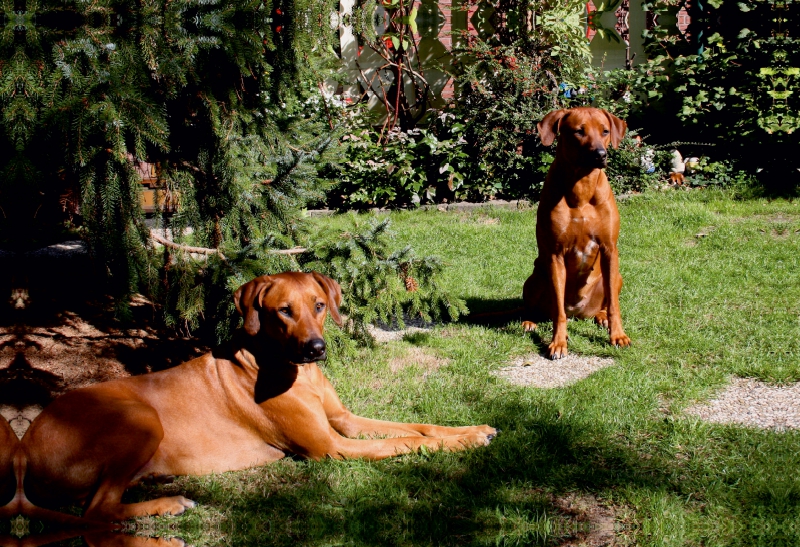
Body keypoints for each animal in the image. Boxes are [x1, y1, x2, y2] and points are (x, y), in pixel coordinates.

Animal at [4, 272, 494, 524]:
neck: (295, 371)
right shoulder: (331, 447)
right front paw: (457, 443)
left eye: (319, 305)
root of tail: (26, 445)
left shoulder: (345, 420)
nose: (316, 349)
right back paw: (169, 504)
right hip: (137, 418)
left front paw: (472, 430)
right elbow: (403, 441)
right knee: (95, 511)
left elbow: (419, 425)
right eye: (283, 312)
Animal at [520, 108, 636, 360]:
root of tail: (579, 312)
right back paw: (529, 321)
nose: (600, 155)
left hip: (616, 276)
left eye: (605, 131)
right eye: (578, 132)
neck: (582, 185)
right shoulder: (555, 254)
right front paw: (558, 342)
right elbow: (558, 312)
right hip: (535, 277)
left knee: (607, 300)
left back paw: (601, 317)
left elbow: (615, 305)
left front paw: (618, 335)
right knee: (539, 306)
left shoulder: (609, 249)